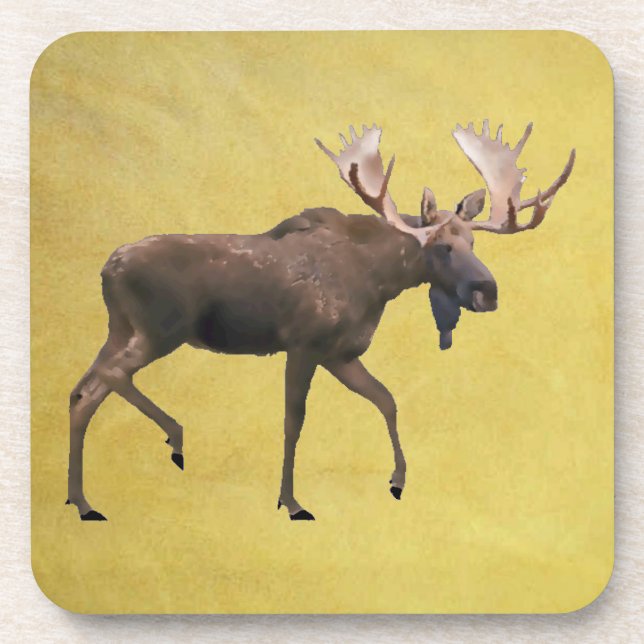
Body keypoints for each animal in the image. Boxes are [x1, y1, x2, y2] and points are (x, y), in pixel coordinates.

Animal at [67, 121, 575, 521]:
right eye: (442, 246)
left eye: (473, 242)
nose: (487, 291)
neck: (378, 282)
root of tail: (107, 267)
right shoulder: (303, 344)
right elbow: (294, 420)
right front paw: (291, 502)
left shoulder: (341, 354)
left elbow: (387, 400)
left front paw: (397, 479)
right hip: (159, 330)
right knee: (105, 379)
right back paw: (173, 438)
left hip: (121, 329)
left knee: (82, 392)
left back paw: (82, 500)